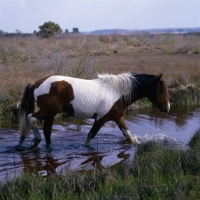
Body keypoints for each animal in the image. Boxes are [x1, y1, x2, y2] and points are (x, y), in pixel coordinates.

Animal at [15, 72, 170, 149]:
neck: (117, 92)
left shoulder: (118, 118)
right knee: (31, 118)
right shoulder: (101, 118)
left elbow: (128, 135)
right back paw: (36, 140)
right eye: (162, 89)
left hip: (51, 114)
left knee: (47, 131)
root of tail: (36, 83)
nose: (167, 108)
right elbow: (90, 136)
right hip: (48, 112)